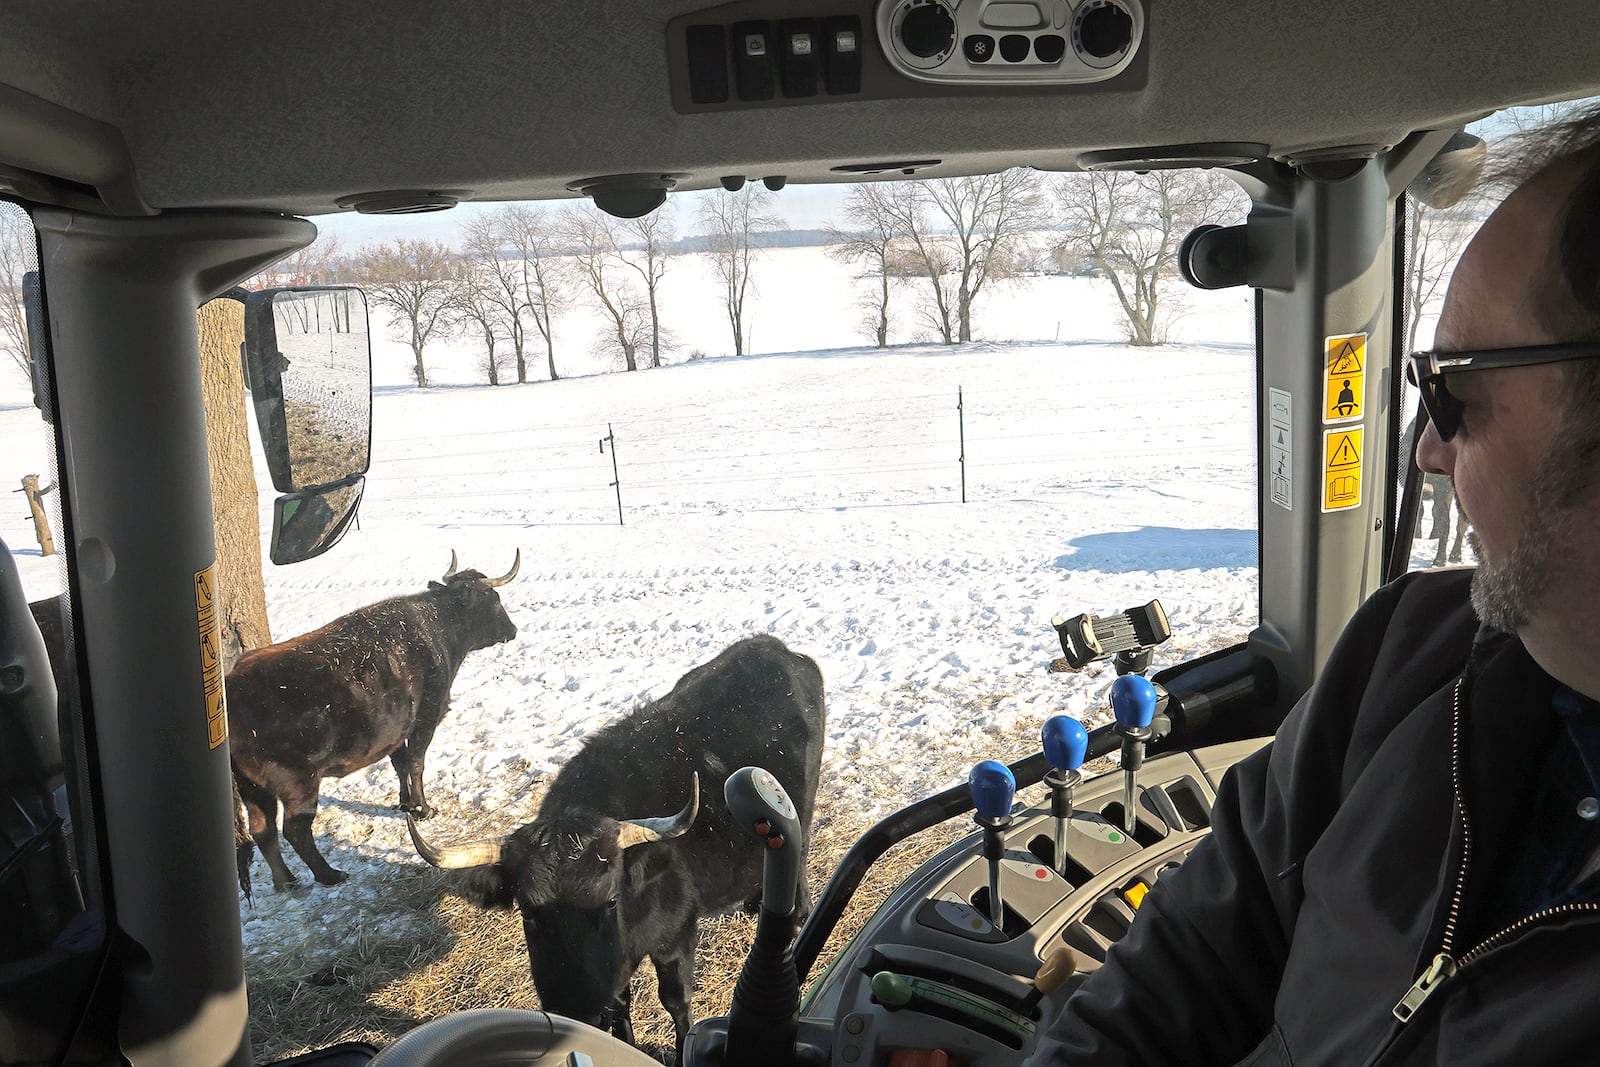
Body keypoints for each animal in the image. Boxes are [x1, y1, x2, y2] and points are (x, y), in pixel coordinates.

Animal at [228, 556, 518, 889]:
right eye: (494, 599)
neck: (436, 629)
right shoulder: (427, 716)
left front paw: (405, 803)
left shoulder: (395, 730)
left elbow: (400, 763)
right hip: (298, 784)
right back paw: (329, 875)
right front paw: (423, 809)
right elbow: (416, 763)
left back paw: (287, 882)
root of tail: (232, 687)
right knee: (294, 830)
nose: (513, 629)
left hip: (252, 787)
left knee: (263, 831)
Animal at [406, 633, 825, 1062]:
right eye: (529, 911)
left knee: (800, 851)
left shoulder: (676, 936)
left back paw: (797, 913)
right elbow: (620, 1004)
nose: (574, 1005)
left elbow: (675, 1000)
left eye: (609, 901)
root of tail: (771, 647)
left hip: (800, 808)